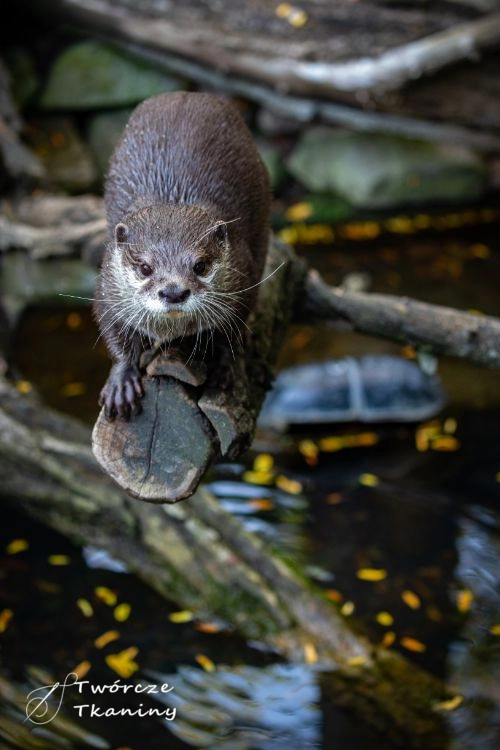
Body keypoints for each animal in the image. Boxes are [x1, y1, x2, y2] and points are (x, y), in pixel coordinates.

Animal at [94, 91, 271, 420]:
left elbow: (232, 330)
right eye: (145, 267)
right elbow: (115, 333)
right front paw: (122, 382)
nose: (174, 291)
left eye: (200, 265)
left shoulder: (244, 277)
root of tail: (189, 94)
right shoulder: (107, 289)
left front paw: (224, 367)